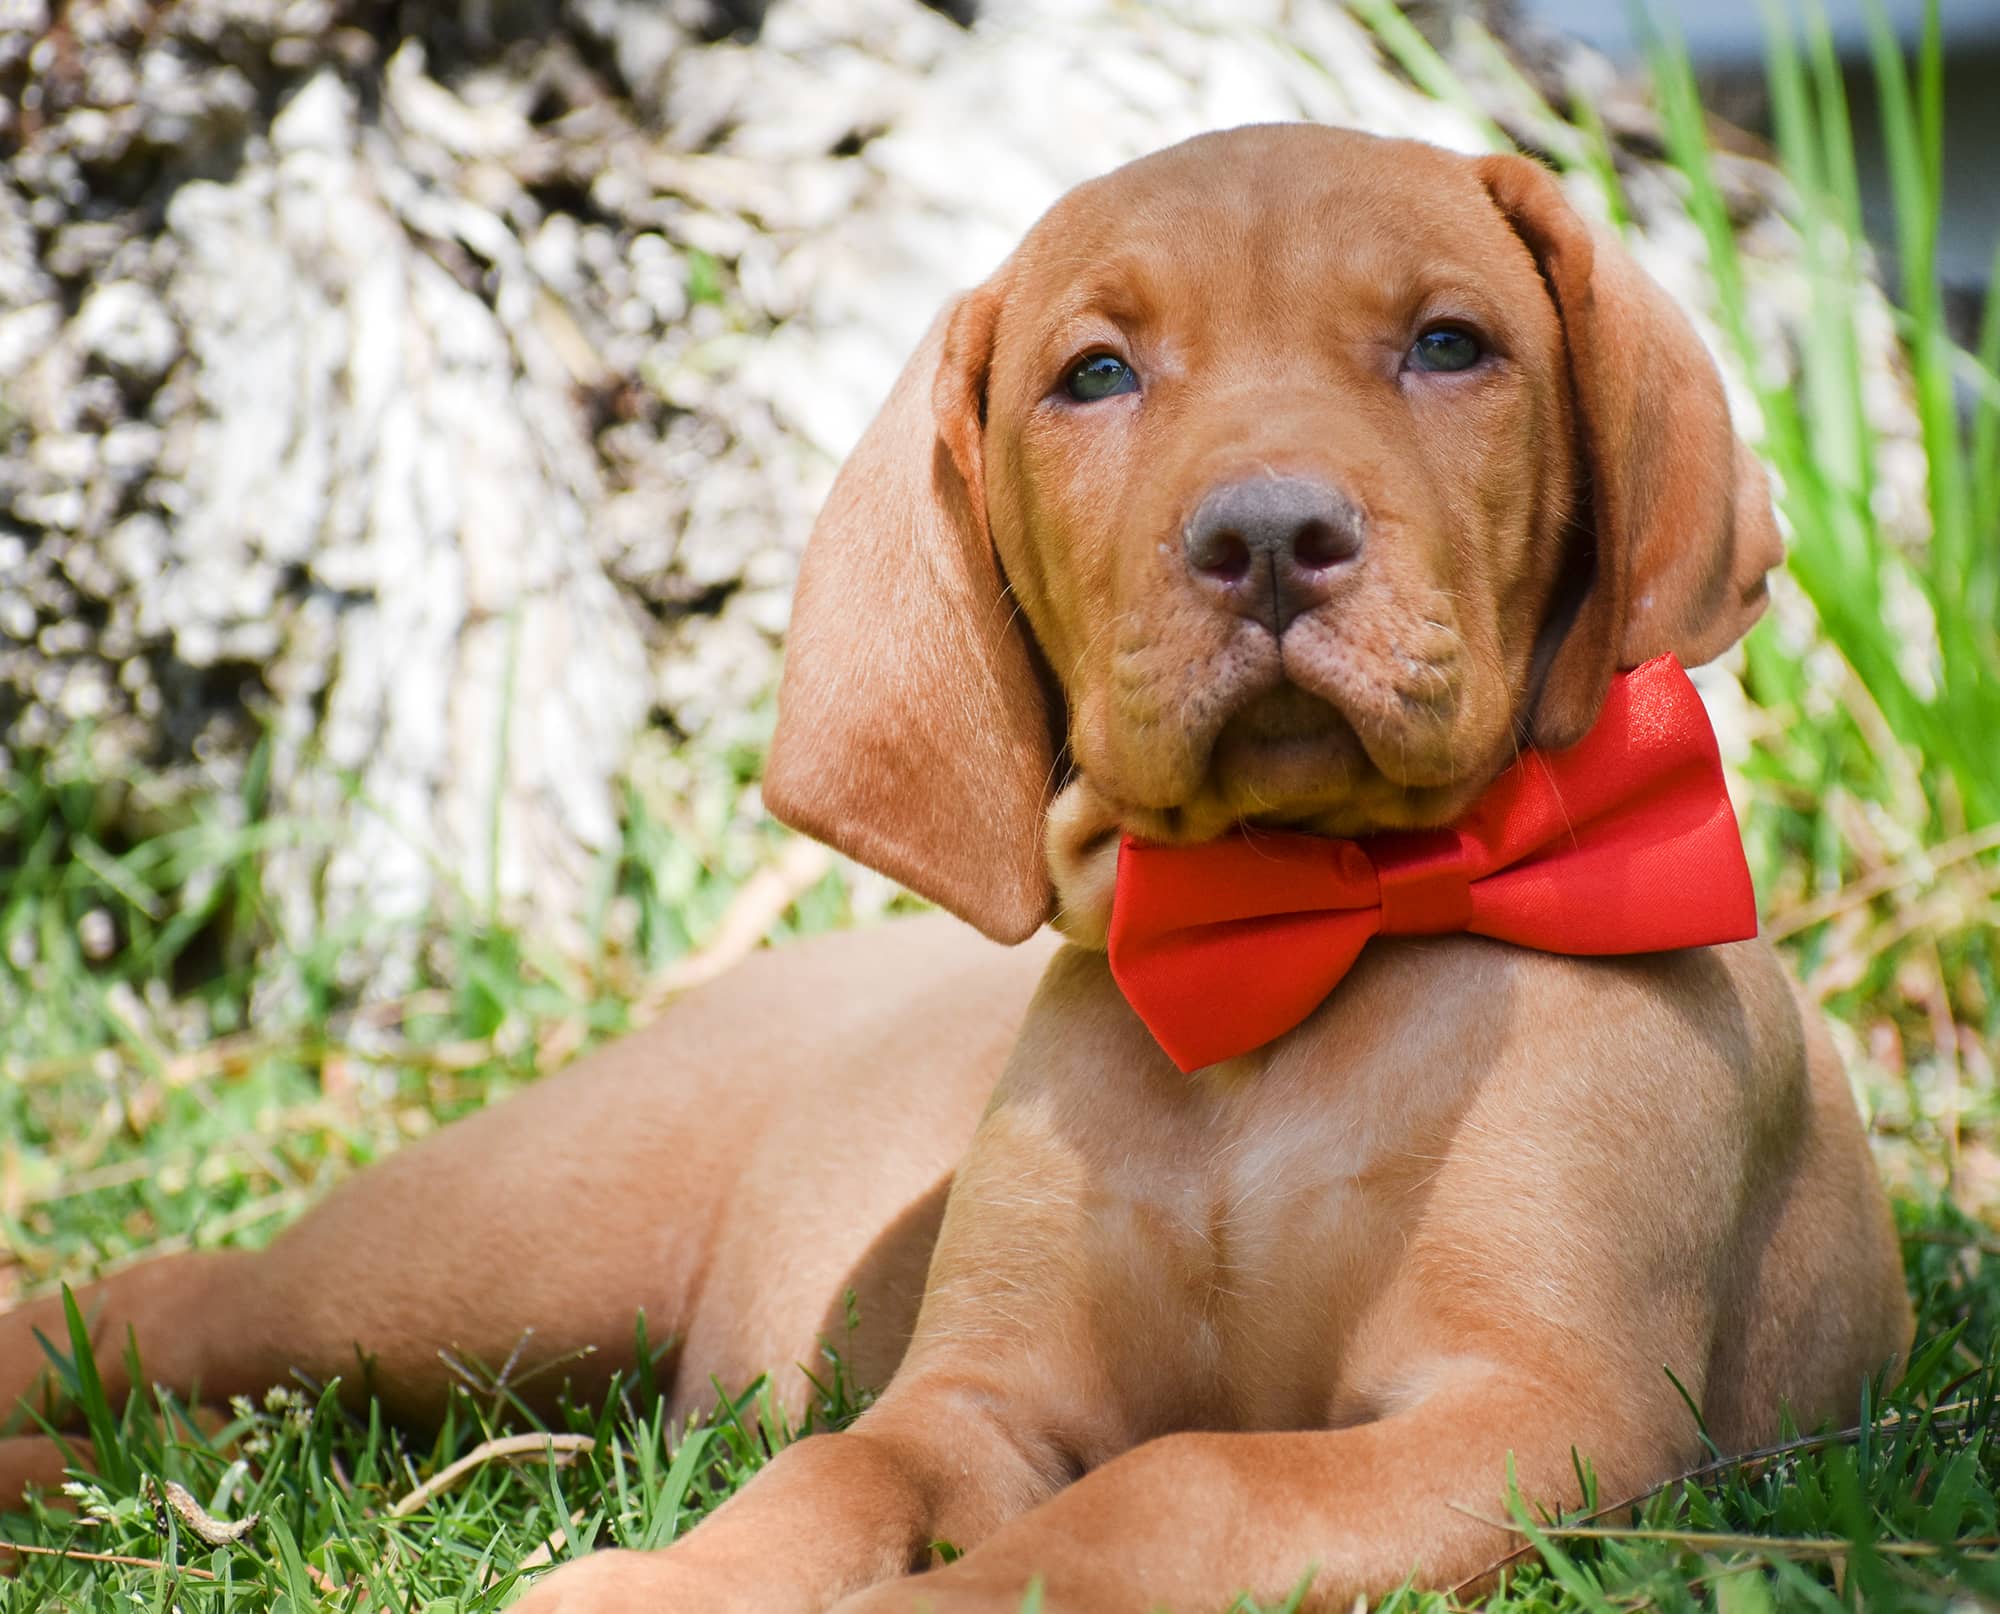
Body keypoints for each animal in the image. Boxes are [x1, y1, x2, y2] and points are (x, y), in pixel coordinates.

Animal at [0, 129, 1904, 1614]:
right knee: (189, 1309)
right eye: (1096, 374)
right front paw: (673, 1579)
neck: (1300, 933)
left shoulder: (1537, 1405)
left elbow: (1171, 1485)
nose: (1268, 534)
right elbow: (837, 1475)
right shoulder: (981, 1393)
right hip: (483, 1260)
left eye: (1453, 343)